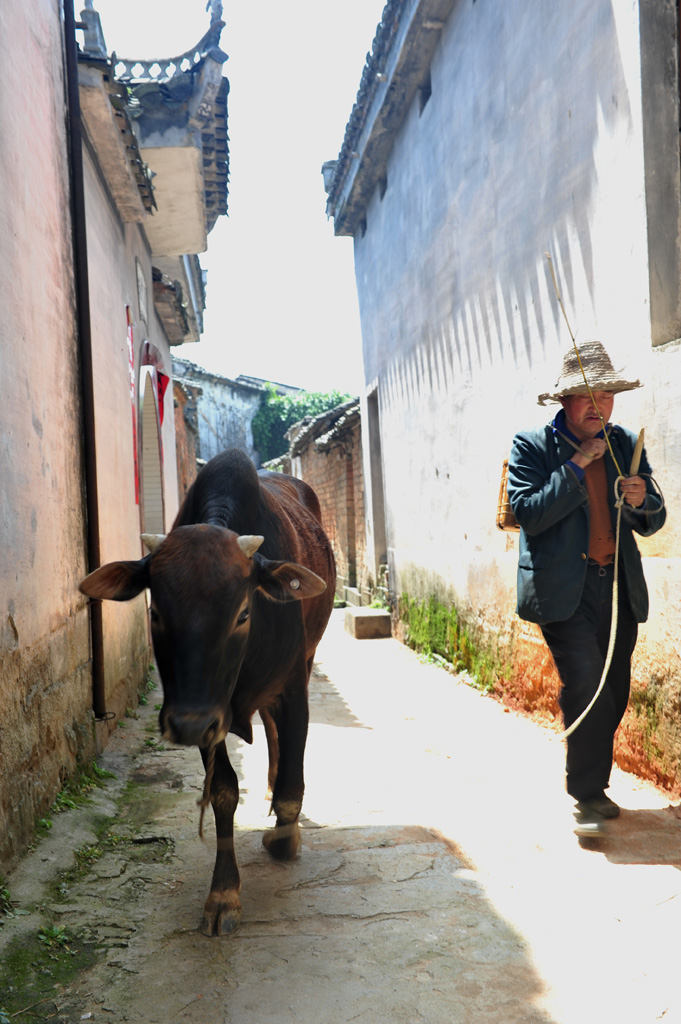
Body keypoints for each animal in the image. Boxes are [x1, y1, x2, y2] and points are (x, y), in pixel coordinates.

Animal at [79, 448, 333, 937]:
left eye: (243, 612)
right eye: (156, 612)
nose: (188, 724)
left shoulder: (292, 690)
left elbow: (292, 786)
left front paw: (284, 837)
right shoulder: (202, 715)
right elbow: (223, 792)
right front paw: (223, 893)